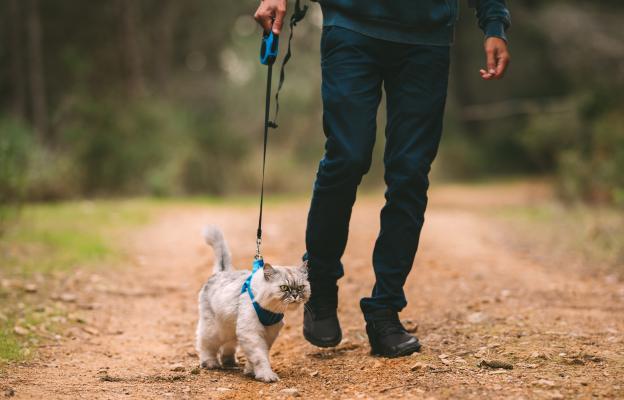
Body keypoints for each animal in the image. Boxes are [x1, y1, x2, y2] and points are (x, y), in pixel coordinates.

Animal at [196, 225, 310, 382]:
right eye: (284, 288)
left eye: (300, 287)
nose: (295, 295)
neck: (270, 311)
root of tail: (221, 271)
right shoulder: (252, 333)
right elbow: (259, 357)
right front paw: (266, 375)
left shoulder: (269, 333)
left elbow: (257, 356)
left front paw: (250, 371)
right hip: (215, 330)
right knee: (206, 345)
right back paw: (211, 363)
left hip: (230, 328)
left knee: (228, 346)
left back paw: (229, 362)